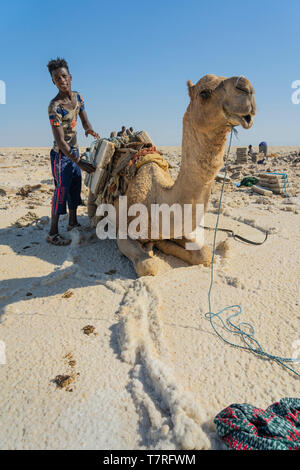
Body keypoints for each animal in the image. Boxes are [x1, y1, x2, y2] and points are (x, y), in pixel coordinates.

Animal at [88, 74, 255, 276]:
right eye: (204, 93)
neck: (155, 199)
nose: (246, 88)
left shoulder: (177, 229)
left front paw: (162, 244)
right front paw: (152, 249)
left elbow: (205, 253)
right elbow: (148, 266)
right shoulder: (123, 233)